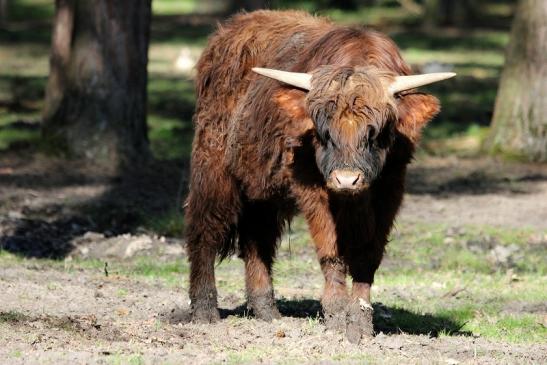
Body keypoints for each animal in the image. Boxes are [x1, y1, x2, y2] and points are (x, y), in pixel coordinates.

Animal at [186, 10, 456, 342]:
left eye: (375, 132)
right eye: (324, 132)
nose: (346, 179)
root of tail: (231, 28)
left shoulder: (391, 188)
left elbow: (368, 255)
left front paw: (361, 322)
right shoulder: (313, 188)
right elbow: (331, 251)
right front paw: (337, 316)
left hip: (261, 189)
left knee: (257, 238)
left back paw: (266, 311)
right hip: (213, 167)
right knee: (205, 229)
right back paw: (204, 310)